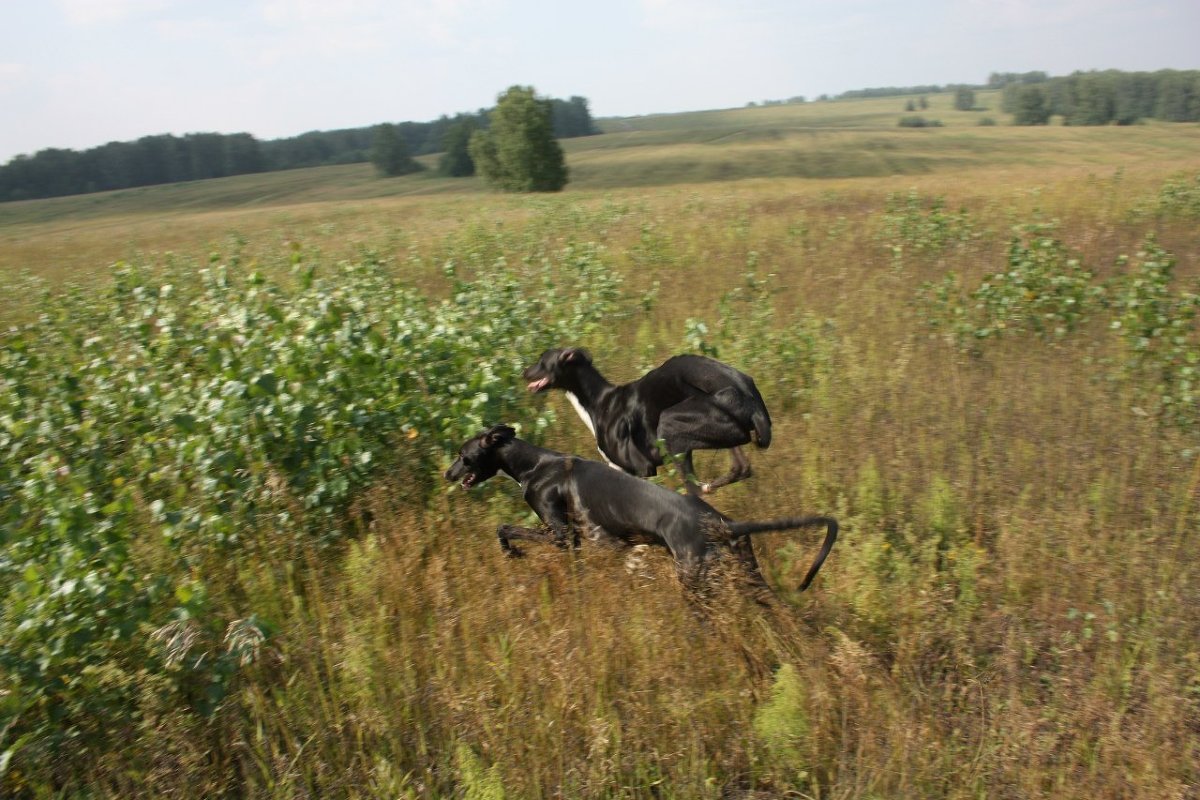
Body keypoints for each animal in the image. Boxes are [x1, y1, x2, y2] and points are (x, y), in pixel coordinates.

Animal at [441, 429, 835, 592]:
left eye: (463, 455)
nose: (447, 473)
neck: (536, 464)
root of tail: (723, 523)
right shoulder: (580, 545)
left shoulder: (562, 536)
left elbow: (505, 527)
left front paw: (513, 552)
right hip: (750, 577)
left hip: (695, 582)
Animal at [523, 347, 768, 494]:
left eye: (542, 361)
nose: (524, 372)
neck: (598, 401)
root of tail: (746, 391)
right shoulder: (619, 469)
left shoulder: (642, 467)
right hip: (726, 433)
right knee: (740, 467)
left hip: (670, 429)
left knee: (696, 490)